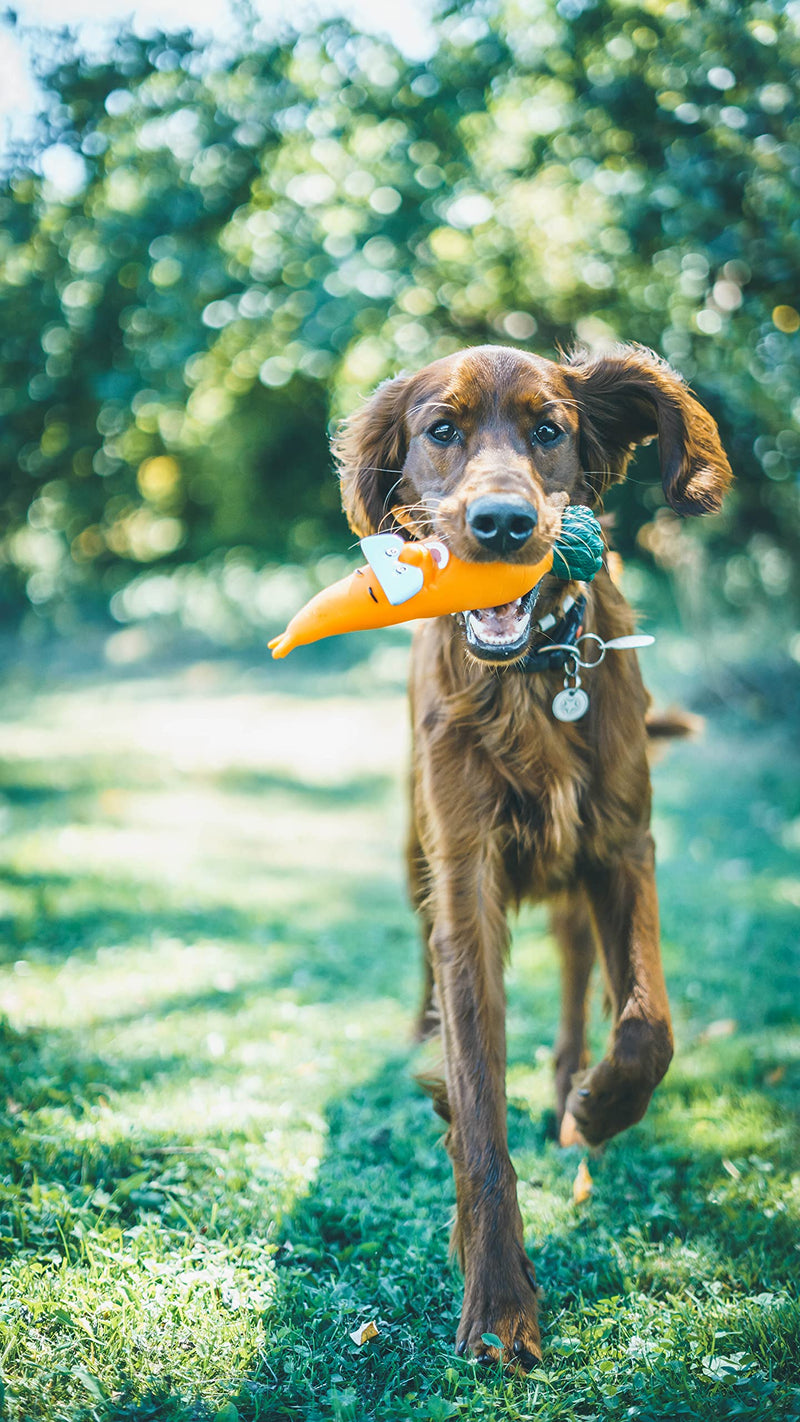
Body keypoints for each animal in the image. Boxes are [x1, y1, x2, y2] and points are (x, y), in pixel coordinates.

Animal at [332, 344, 733, 1365]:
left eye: (549, 429)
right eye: (441, 430)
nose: (504, 523)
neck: (531, 678)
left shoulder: (624, 848)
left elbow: (648, 1024)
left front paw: (598, 1106)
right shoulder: (465, 883)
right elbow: (477, 1110)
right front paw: (500, 1303)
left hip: (575, 880)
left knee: (582, 976)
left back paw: (568, 1090)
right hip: (414, 854)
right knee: (427, 961)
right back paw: (423, 1035)